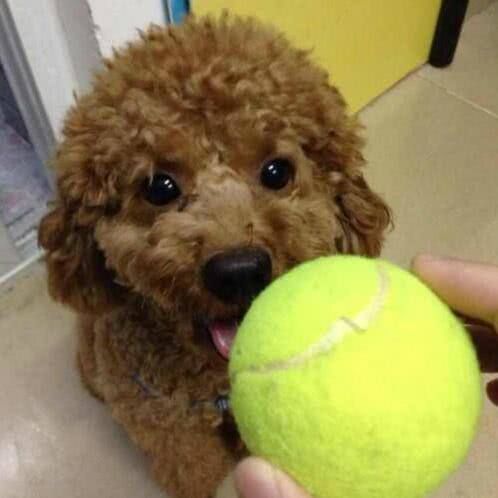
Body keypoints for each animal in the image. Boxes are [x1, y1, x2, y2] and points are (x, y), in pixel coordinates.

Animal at [38, 14, 391, 498]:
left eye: (277, 171)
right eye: (159, 187)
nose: (239, 271)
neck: (217, 377)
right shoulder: (168, 426)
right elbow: (194, 470)